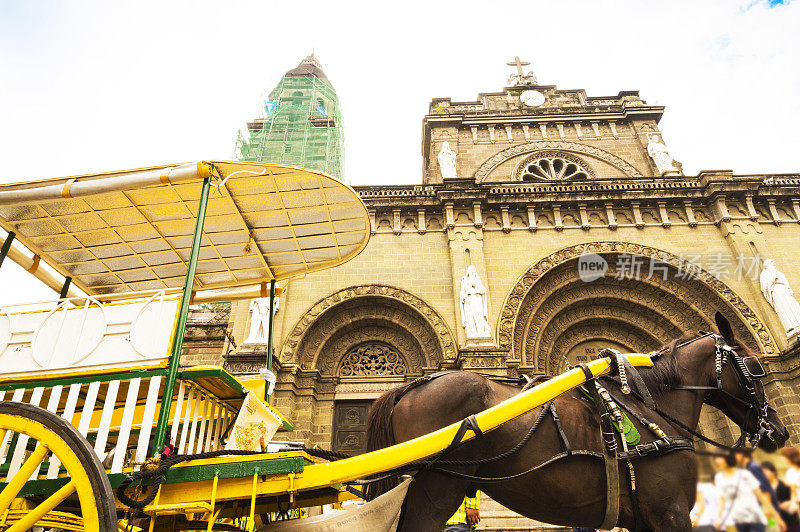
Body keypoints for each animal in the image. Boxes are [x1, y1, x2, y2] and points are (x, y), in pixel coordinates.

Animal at [366, 314, 792, 528]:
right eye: (753, 367)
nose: (779, 431)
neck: (647, 406)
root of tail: (414, 384)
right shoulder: (669, 511)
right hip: (439, 486)